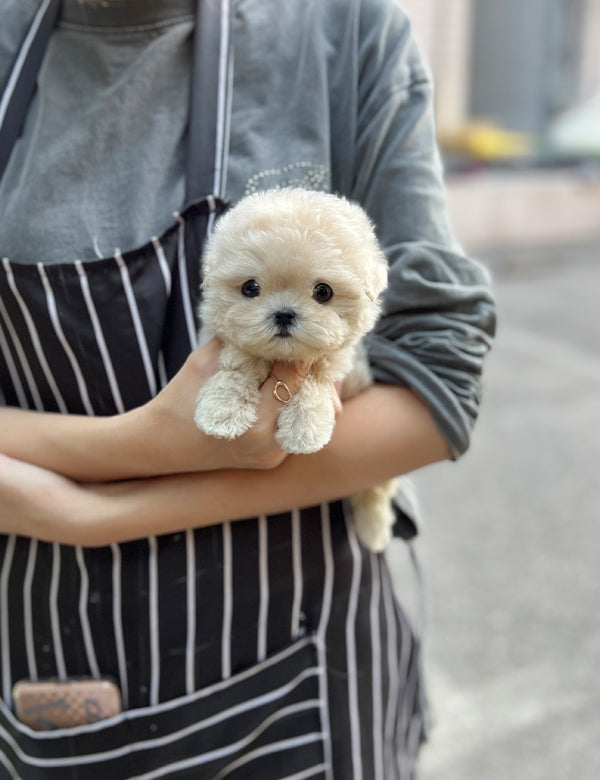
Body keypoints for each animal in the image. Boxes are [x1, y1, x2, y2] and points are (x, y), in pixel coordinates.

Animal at [195, 189, 396, 552]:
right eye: (250, 288)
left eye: (323, 292)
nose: (284, 313)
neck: (283, 359)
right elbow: (239, 363)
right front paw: (223, 410)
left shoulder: (338, 359)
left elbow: (317, 377)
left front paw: (304, 428)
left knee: (376, 489)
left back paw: (374, 529)